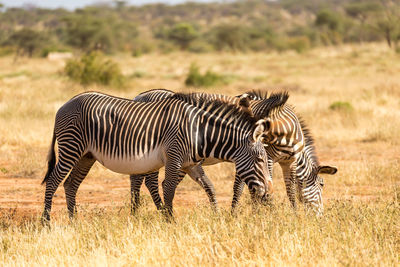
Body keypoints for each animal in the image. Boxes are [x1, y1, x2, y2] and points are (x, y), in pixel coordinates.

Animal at [41, 91, 278, 223]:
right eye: (259, 160)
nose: (269, 192)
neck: (199, 132)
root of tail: (65, 104)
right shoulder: (174, 158)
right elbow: (169, 188)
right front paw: (169, 221)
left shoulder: (191, 164)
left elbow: (209, 186)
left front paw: (217, 216)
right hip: (71, 147)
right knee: (53, 181)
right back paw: (46, 221)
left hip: (86, 156)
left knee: (71, 184)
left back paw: (74, 220)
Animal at [131, 90, 338, 216]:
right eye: (322, 184)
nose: (319, 216)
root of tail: (139, 96)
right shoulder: (264, 158)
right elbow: (248, 186)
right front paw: (257, 213)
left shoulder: (286, 162)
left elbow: (290, 190)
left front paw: (293, 214)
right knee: (149, 181)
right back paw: (150, 211)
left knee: (141, 178)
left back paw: (141, 211)